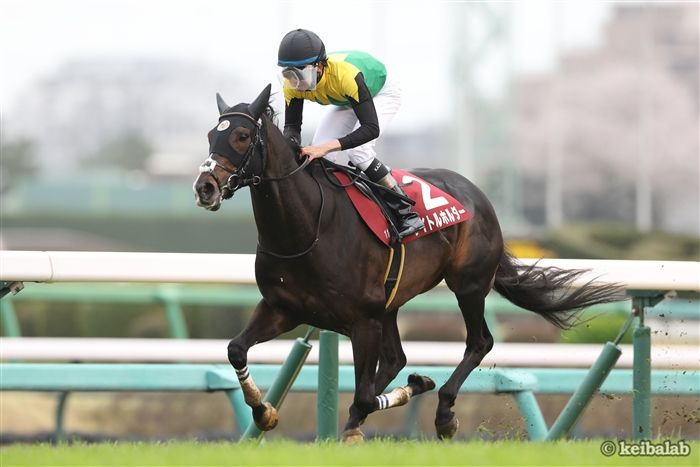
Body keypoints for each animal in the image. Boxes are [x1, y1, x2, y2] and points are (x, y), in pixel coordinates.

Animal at [193, 84, 623, 442]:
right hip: (392, 303)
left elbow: (365, 395)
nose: (204, 187)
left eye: (242, 136)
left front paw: (406, 395)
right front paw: (264, 412)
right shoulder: (283, 308)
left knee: (478, 342)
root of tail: (477, 194)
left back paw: (444, 412)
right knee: (396, 359)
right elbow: (236, 350)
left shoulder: (362, 319)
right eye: (212, 135)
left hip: (467, 285)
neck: (307, 227)